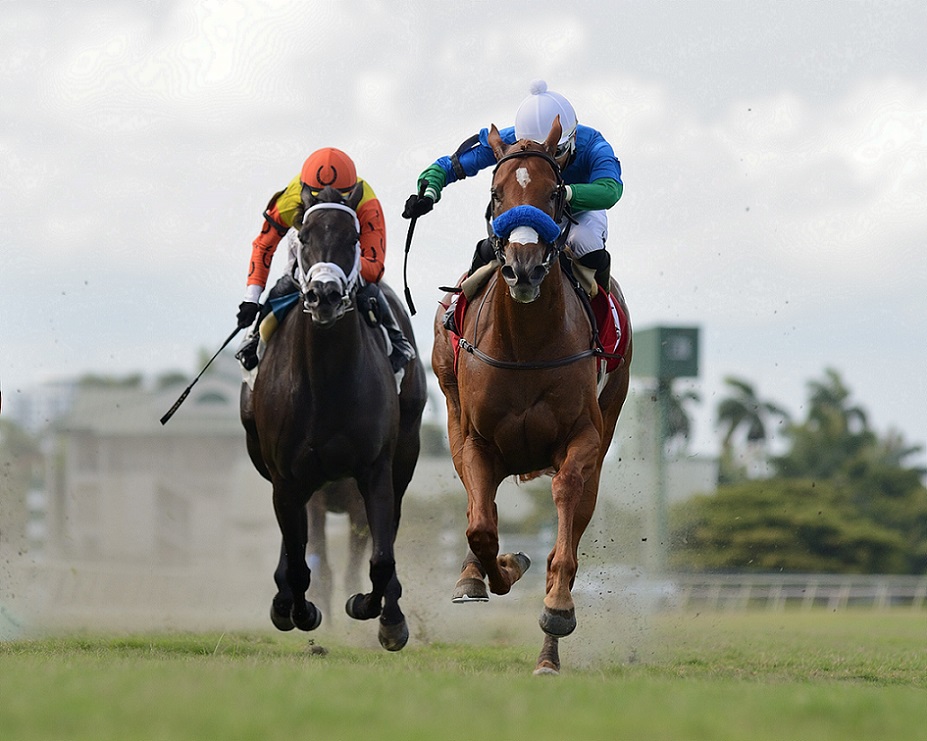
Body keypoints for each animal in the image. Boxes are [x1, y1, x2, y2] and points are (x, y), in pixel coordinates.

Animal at [241, 183, 427, 650]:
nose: (323, 295)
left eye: (353, 238)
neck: (325, 381)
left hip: (404, 455)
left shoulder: (375, 470)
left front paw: (375, 612)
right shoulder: (290, 478)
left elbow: (380, 557)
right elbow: (301, 559)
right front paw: (298, 609)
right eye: (304, 237)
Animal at [432, 119, 632, 674]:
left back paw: (548, 655)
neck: (525, 343)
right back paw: (472, 576)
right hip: (454, 417)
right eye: (497, 192)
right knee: (477, 509)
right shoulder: (477, 441)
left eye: (554, 193)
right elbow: (481, 527)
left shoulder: (582, 440)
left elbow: (563, 511)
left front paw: (557, 608)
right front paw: (491, 571)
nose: (523, 269)